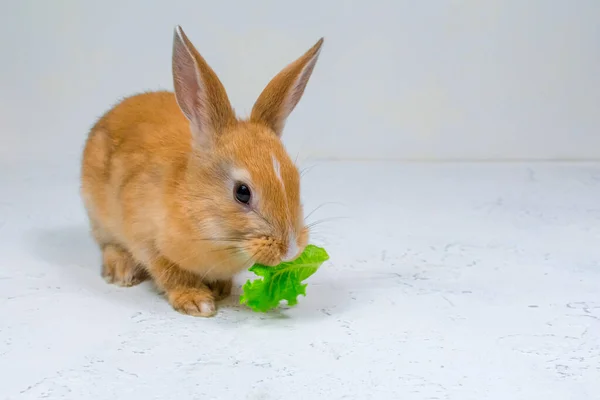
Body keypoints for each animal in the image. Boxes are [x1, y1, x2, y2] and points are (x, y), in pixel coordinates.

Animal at [81, 26, 324, 318]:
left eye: (295, 180)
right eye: (242, 192)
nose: (290, 251)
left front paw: (220, 289)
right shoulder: (146, 240)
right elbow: (171, 274)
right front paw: (198, 302)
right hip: (98, 216)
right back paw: (121, 271)